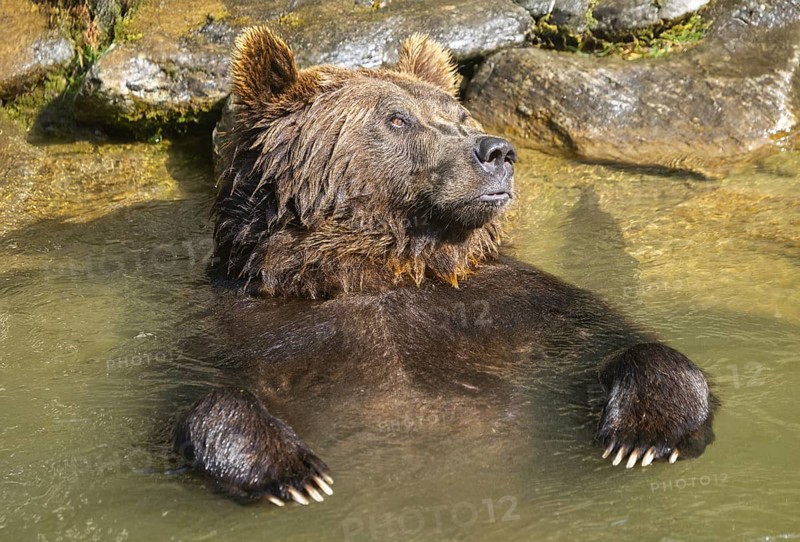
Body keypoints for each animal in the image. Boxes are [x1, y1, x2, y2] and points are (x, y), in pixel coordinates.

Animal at [173, 27, 717, 506]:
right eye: (396, 119)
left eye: (460, 114)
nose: (498, 151)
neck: (378, 272)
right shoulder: (247, 327)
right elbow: (203, 397)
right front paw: (291, 473)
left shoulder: (520, 304)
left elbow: (620, 342)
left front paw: (642, 434)